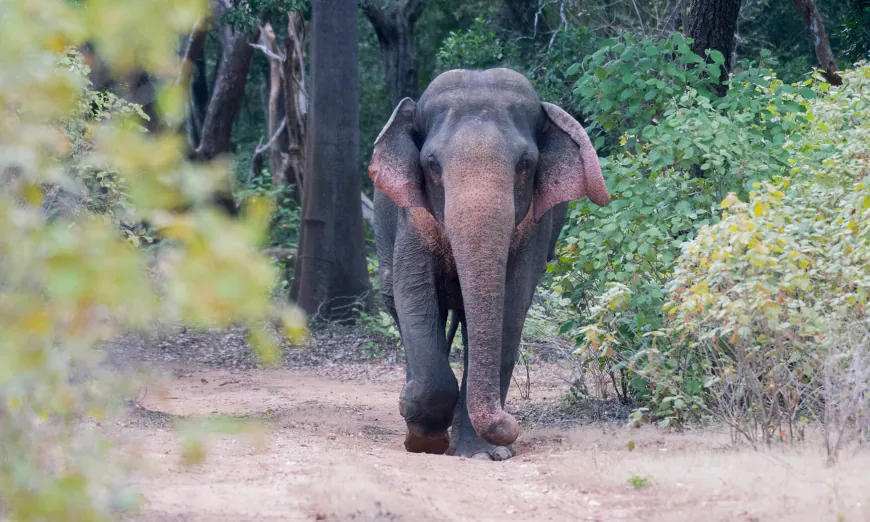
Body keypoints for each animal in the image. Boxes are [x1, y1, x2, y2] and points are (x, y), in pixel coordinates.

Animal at [372, 66, 608, 460]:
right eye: (431, 165)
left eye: (525, 164)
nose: (511, 424)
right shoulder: (411, 219)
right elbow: (414, 294)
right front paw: (423, 440)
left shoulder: (536, 226)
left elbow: (512, 306)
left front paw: (485, 454)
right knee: (397, 303)